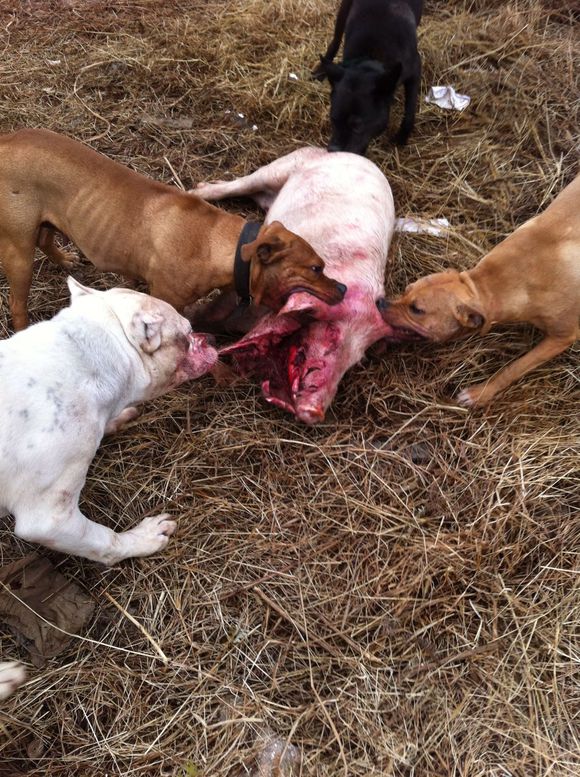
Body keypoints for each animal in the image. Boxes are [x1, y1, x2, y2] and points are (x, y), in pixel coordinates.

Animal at [0, 129, 344, 328]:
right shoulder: (167, 298)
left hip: (45, 220)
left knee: (46, 237)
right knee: (17, 302)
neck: (218, 244)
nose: (343, 288)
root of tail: (6, 140)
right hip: (19, 253)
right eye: (316, 268)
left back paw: (64, 259)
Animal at [312, 0, 422, 155]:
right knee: (335, 40)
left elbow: (410, 111)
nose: (333, 150)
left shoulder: (414, 70)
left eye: (357, 126)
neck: (370, 58)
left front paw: (401, 138)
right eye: (333, 119)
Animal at [380, 173, 580, 406]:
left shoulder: (562, 337)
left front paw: (480, 393)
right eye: (406, 289)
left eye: (417, 310)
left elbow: (513, 369)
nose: (379, 302)